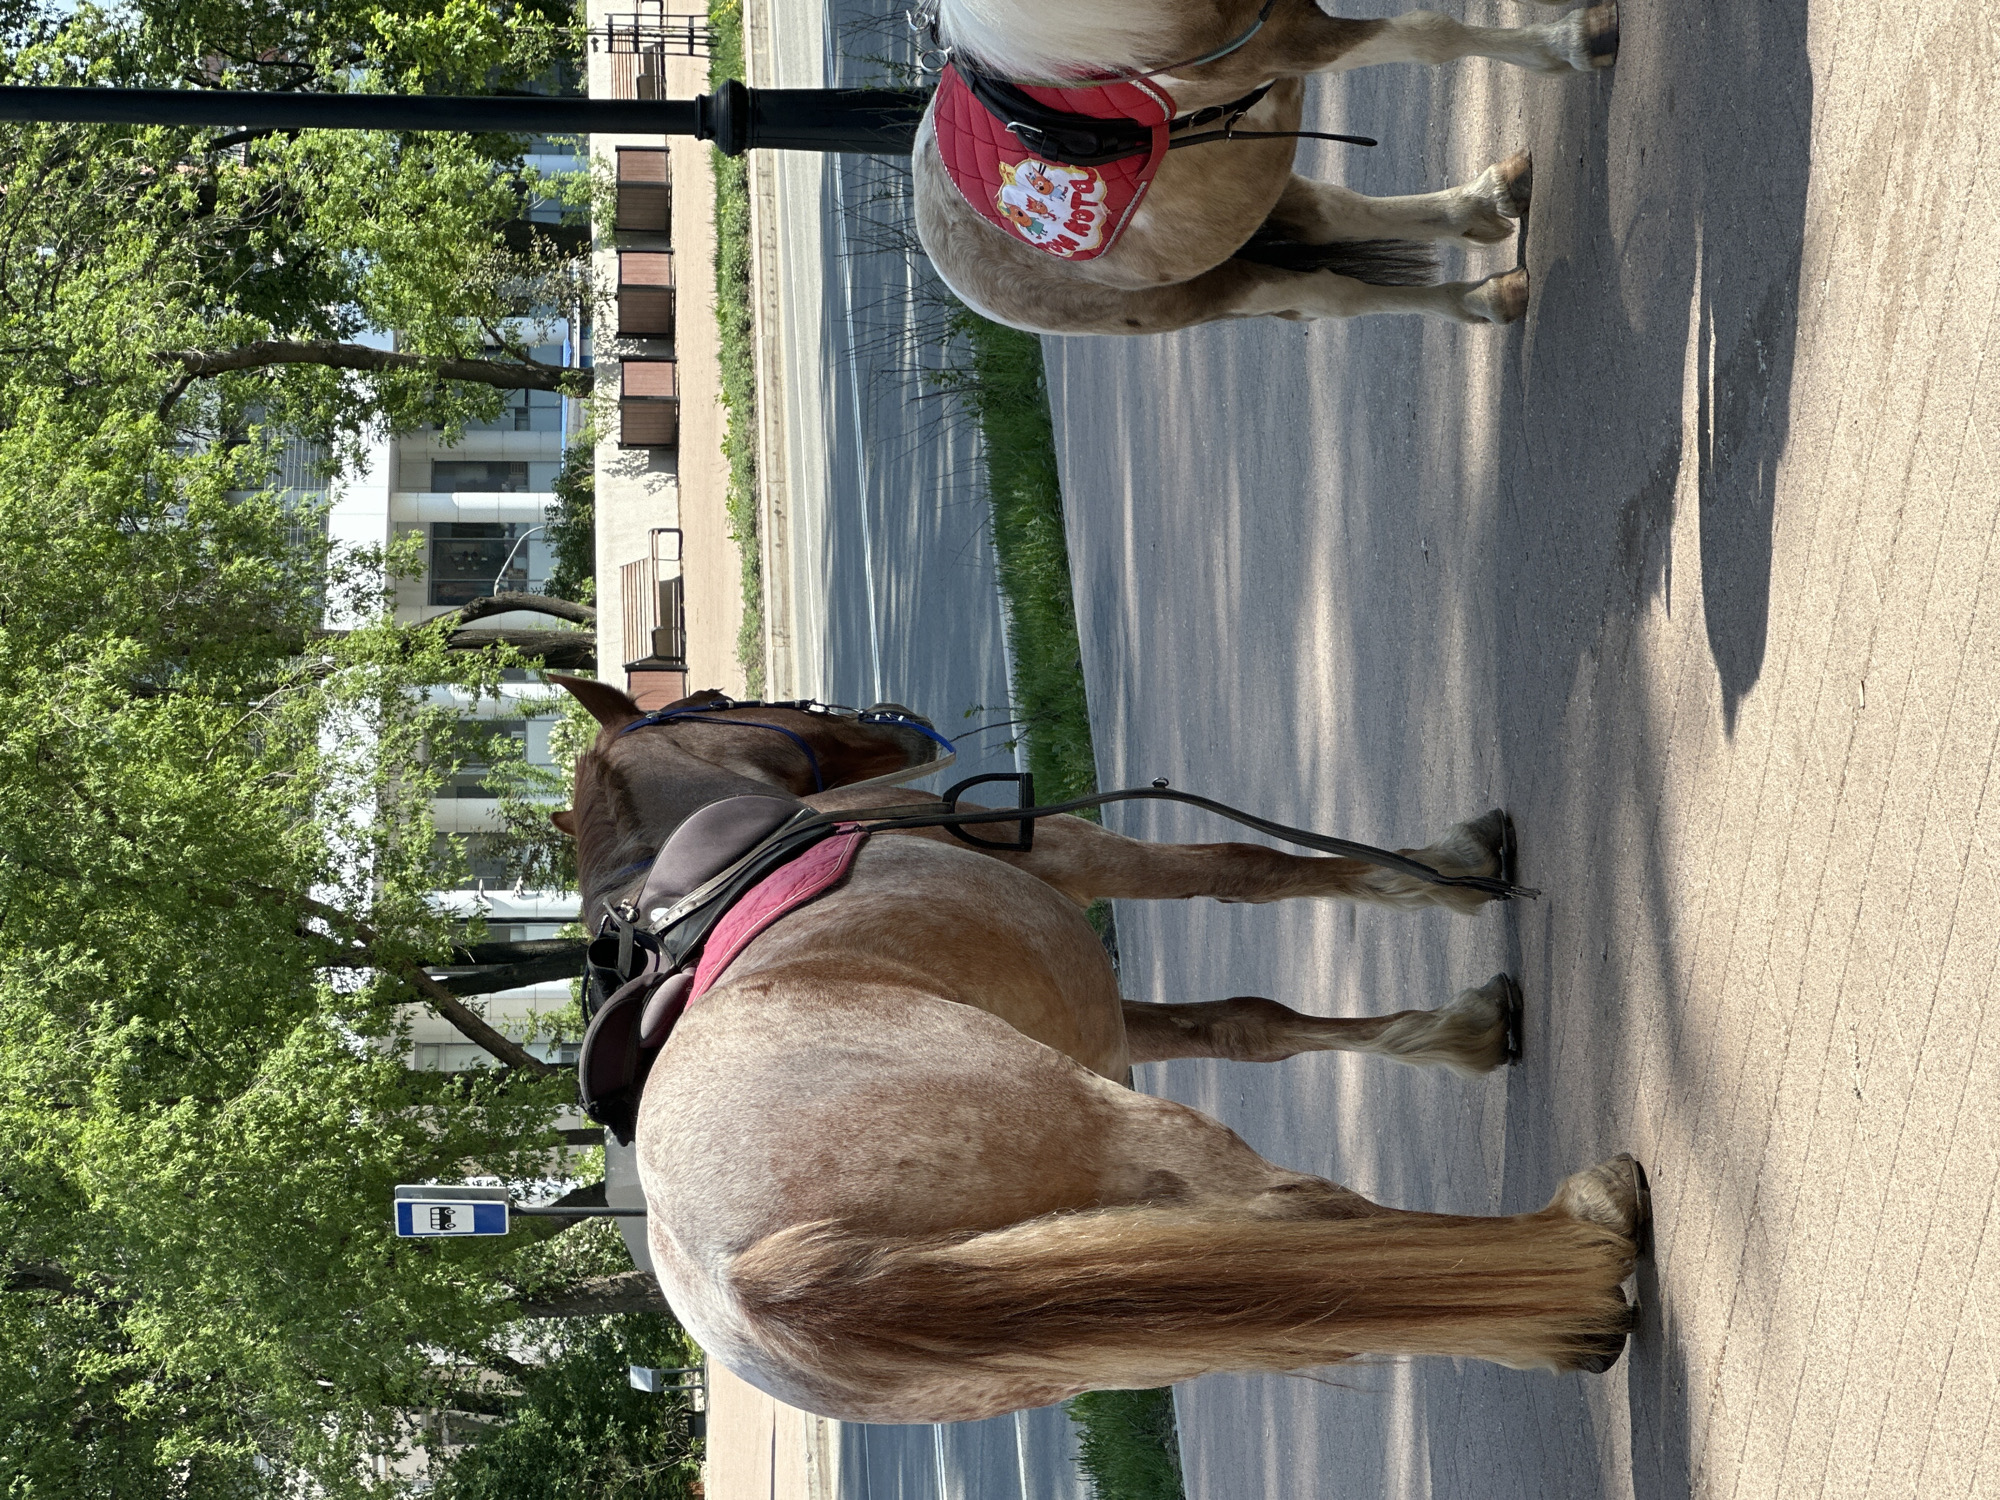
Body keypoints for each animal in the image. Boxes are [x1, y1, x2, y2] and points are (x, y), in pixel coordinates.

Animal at [550, 677, 1647, 1424]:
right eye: (714, 702)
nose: (893, 723)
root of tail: (748, 1277)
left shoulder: (1098, 1010)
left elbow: (1246, 1023)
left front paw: (1452, 1034)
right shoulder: (1078, 851)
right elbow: (1244, 869)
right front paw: (1449, 874)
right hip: (1131, 1141)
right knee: (1304, 1212)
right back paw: (1581, 1237)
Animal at [913, 0, 1618, 335]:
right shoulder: (1285, 44)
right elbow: (1431, 34)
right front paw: (1569, 44)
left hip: (1251, 197)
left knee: (1335, 215)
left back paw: (1487, 203)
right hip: (1219, 292)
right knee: (1333, 297)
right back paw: (1482, 298)